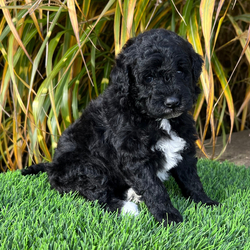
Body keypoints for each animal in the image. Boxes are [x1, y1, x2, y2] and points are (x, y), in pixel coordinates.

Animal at [23, 28, 219, 226]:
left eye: (180, 70)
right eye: (149, 77)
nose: (172, 102)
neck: (154, 118)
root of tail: (52, 167)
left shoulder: (185, 146)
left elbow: (191, 178)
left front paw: (205, 202)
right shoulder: (135, 156)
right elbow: (154, 188)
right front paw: (167, 215)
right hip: (86, 166)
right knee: (96, 194)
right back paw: (126, 208)